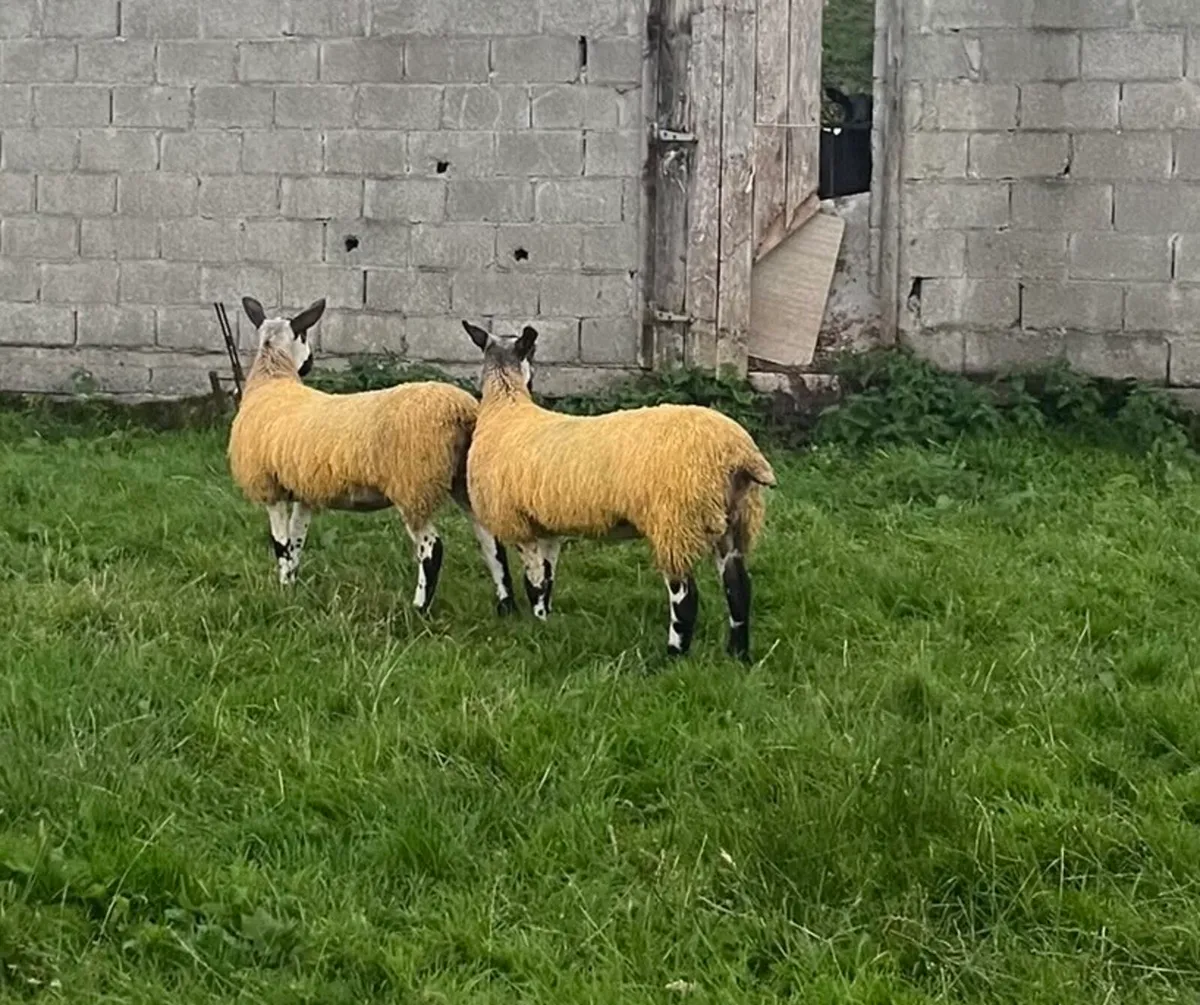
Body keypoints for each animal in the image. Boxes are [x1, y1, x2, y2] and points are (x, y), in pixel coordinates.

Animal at [227, 296, 518, 617]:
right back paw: (506, 605)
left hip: (413, 485)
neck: (272, 379)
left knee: (432, 548)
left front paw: (282, 589)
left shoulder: (270, 487)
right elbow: (296, 542)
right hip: (463, 482)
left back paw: (418, 609)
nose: (311, 362)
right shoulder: (304, 491)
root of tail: (462, 411)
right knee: (490, 541)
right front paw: (291, 585)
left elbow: (280, 543)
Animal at [460, 320, 776, 662]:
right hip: (733, 521)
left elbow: (530, 579)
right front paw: (545, 621)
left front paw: (534, 622)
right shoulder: (547, 527)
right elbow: (547, 579)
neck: (506, 406)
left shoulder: (516, 523)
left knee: (686, 598)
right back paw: (738, 654)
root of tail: (739, 452)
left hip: (676, 522)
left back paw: (672, 656)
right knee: (739, 587)